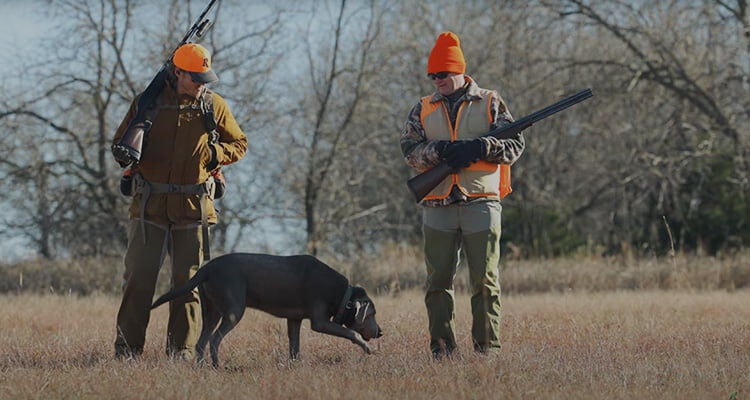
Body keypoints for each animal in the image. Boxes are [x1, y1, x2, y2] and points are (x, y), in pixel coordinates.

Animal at [151, 253, 384, 366]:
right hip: (234, 310)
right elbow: (351, 332)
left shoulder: (294, 319)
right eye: (372, 314)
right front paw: (367, 349)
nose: (381, 332)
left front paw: (294, 365)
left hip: (211, 310)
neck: (342, 296)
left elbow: (294, 345)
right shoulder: (319, 322)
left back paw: (202, 367)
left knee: (202, 342)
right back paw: (218, 365)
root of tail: (206, 269)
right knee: (215, 339)